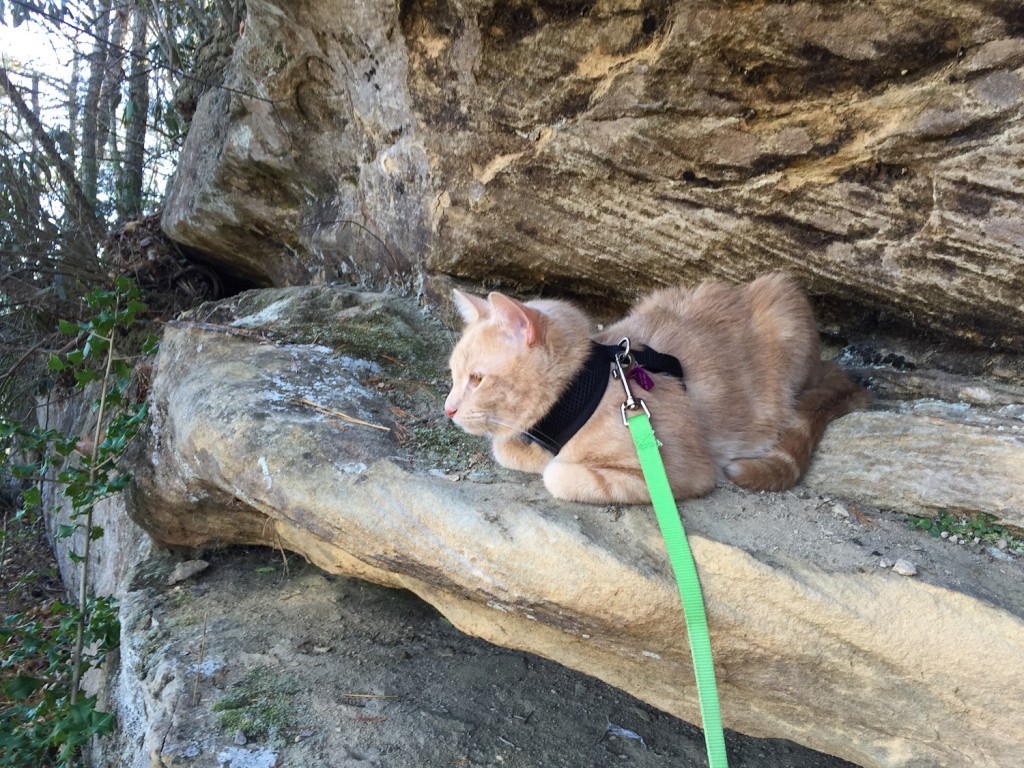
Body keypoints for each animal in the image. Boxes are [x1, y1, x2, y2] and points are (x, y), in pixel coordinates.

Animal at [444, 274, 868, 505]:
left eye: (477, 379)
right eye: (452, 374)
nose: (448, 409)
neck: (581, 391)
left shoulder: (683, 470)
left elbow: (557, 475)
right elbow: (512, 449)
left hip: (783, 304)